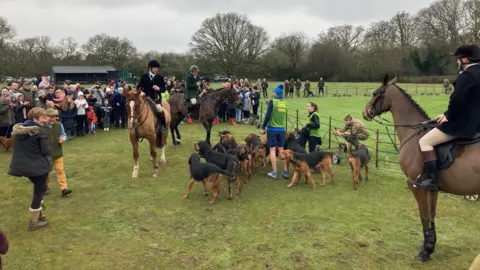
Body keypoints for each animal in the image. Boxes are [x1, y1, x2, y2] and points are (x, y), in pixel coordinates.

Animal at [362, 75, 480, 262]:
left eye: (375, 93)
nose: (365, 111)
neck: (413, 133)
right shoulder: (432, 187)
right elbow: (431, 215)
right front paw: (430, 245)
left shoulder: (415, 184)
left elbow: (424, 216)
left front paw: (425, 251)